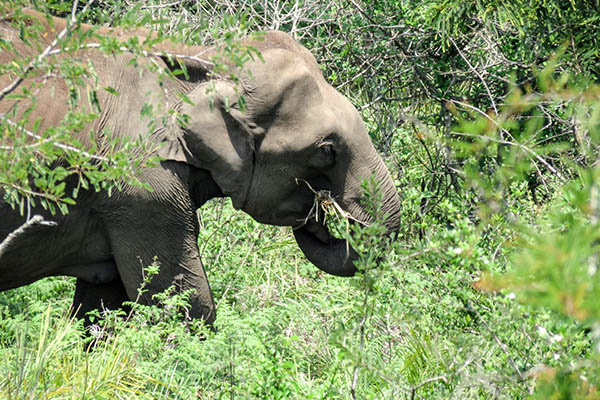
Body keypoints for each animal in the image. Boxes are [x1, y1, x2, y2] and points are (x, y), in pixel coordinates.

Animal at [1, 9, 404, 326]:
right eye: (326, 150)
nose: (319, 214)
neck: (206, 58)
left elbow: (103, 307)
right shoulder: (140, 189)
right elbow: (181, 302)